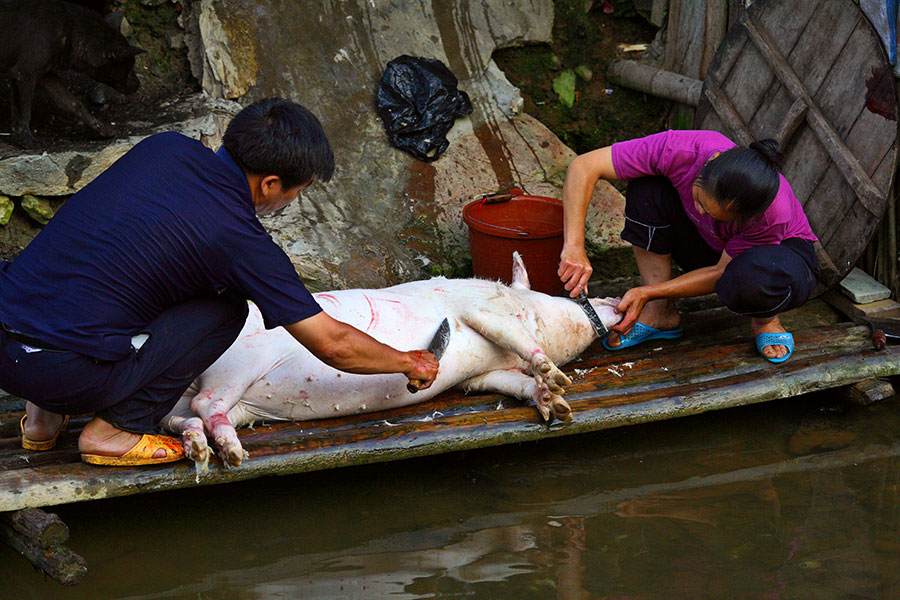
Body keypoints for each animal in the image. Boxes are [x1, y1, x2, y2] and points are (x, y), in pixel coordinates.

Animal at [0, 0, 143, 148]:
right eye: (130, 67)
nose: (138, 84)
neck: (68, 31)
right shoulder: (24, 73)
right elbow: (25, 112)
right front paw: (28, 140)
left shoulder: (44, 75)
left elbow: (74, 103)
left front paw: (101, 128)